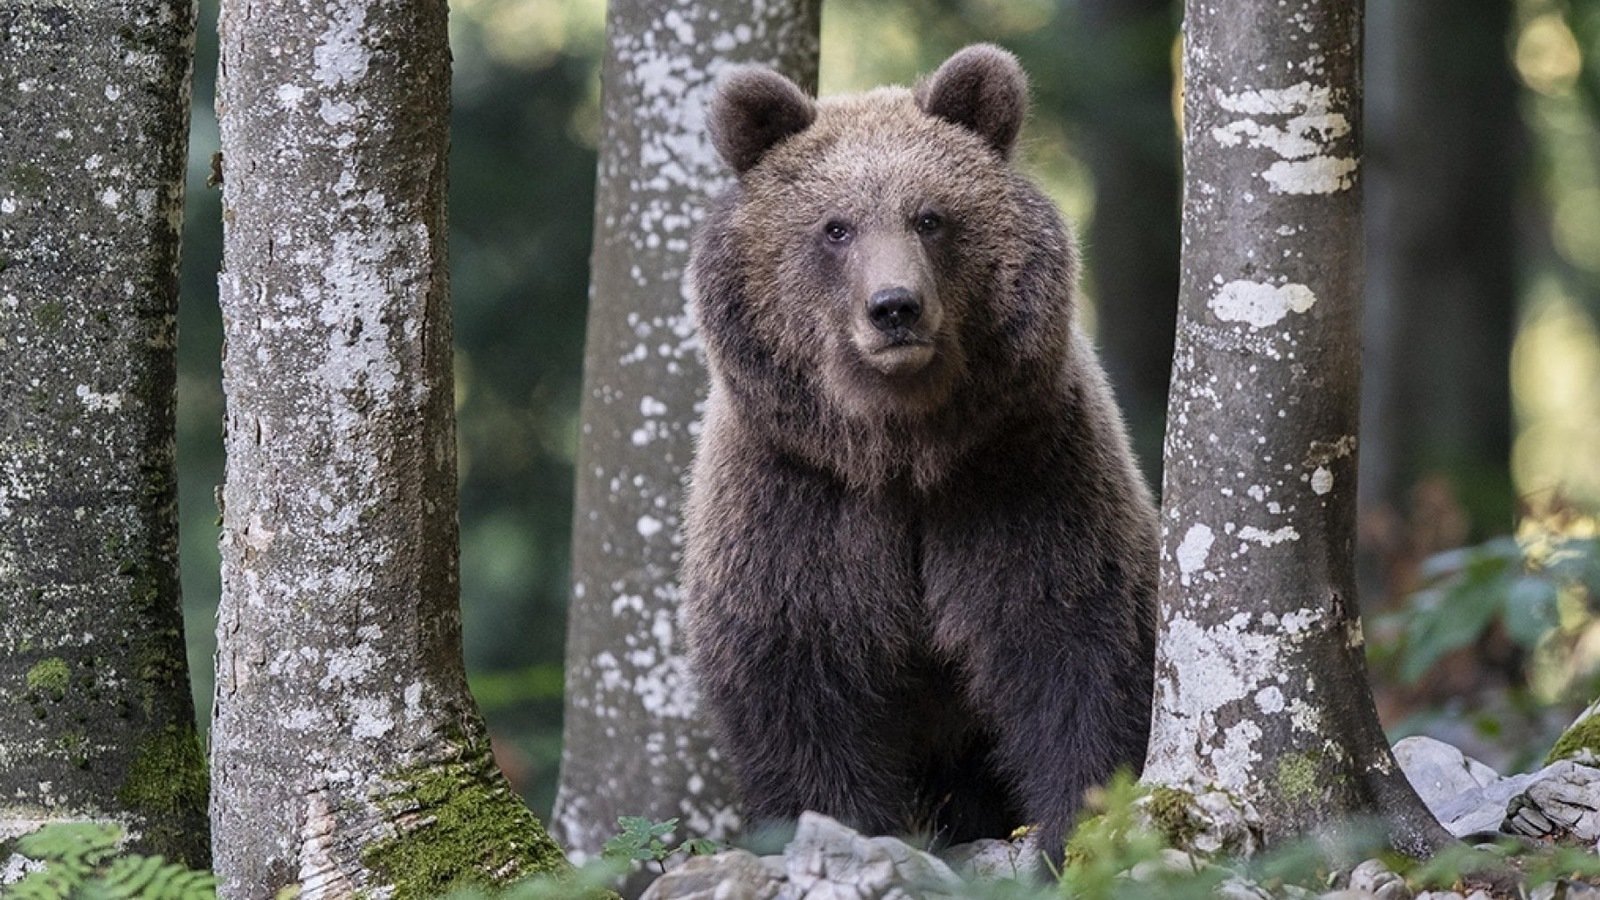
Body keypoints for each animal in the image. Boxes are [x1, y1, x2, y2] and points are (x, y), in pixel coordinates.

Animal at [680, 44, 1160, 864]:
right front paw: (842, 825)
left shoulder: (1023, 476)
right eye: (836, 227)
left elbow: (1070, 643)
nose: (895, 307)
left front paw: (1069, 831)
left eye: (931, 216)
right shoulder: (796, 500)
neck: (901, 451)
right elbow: (801, 678)